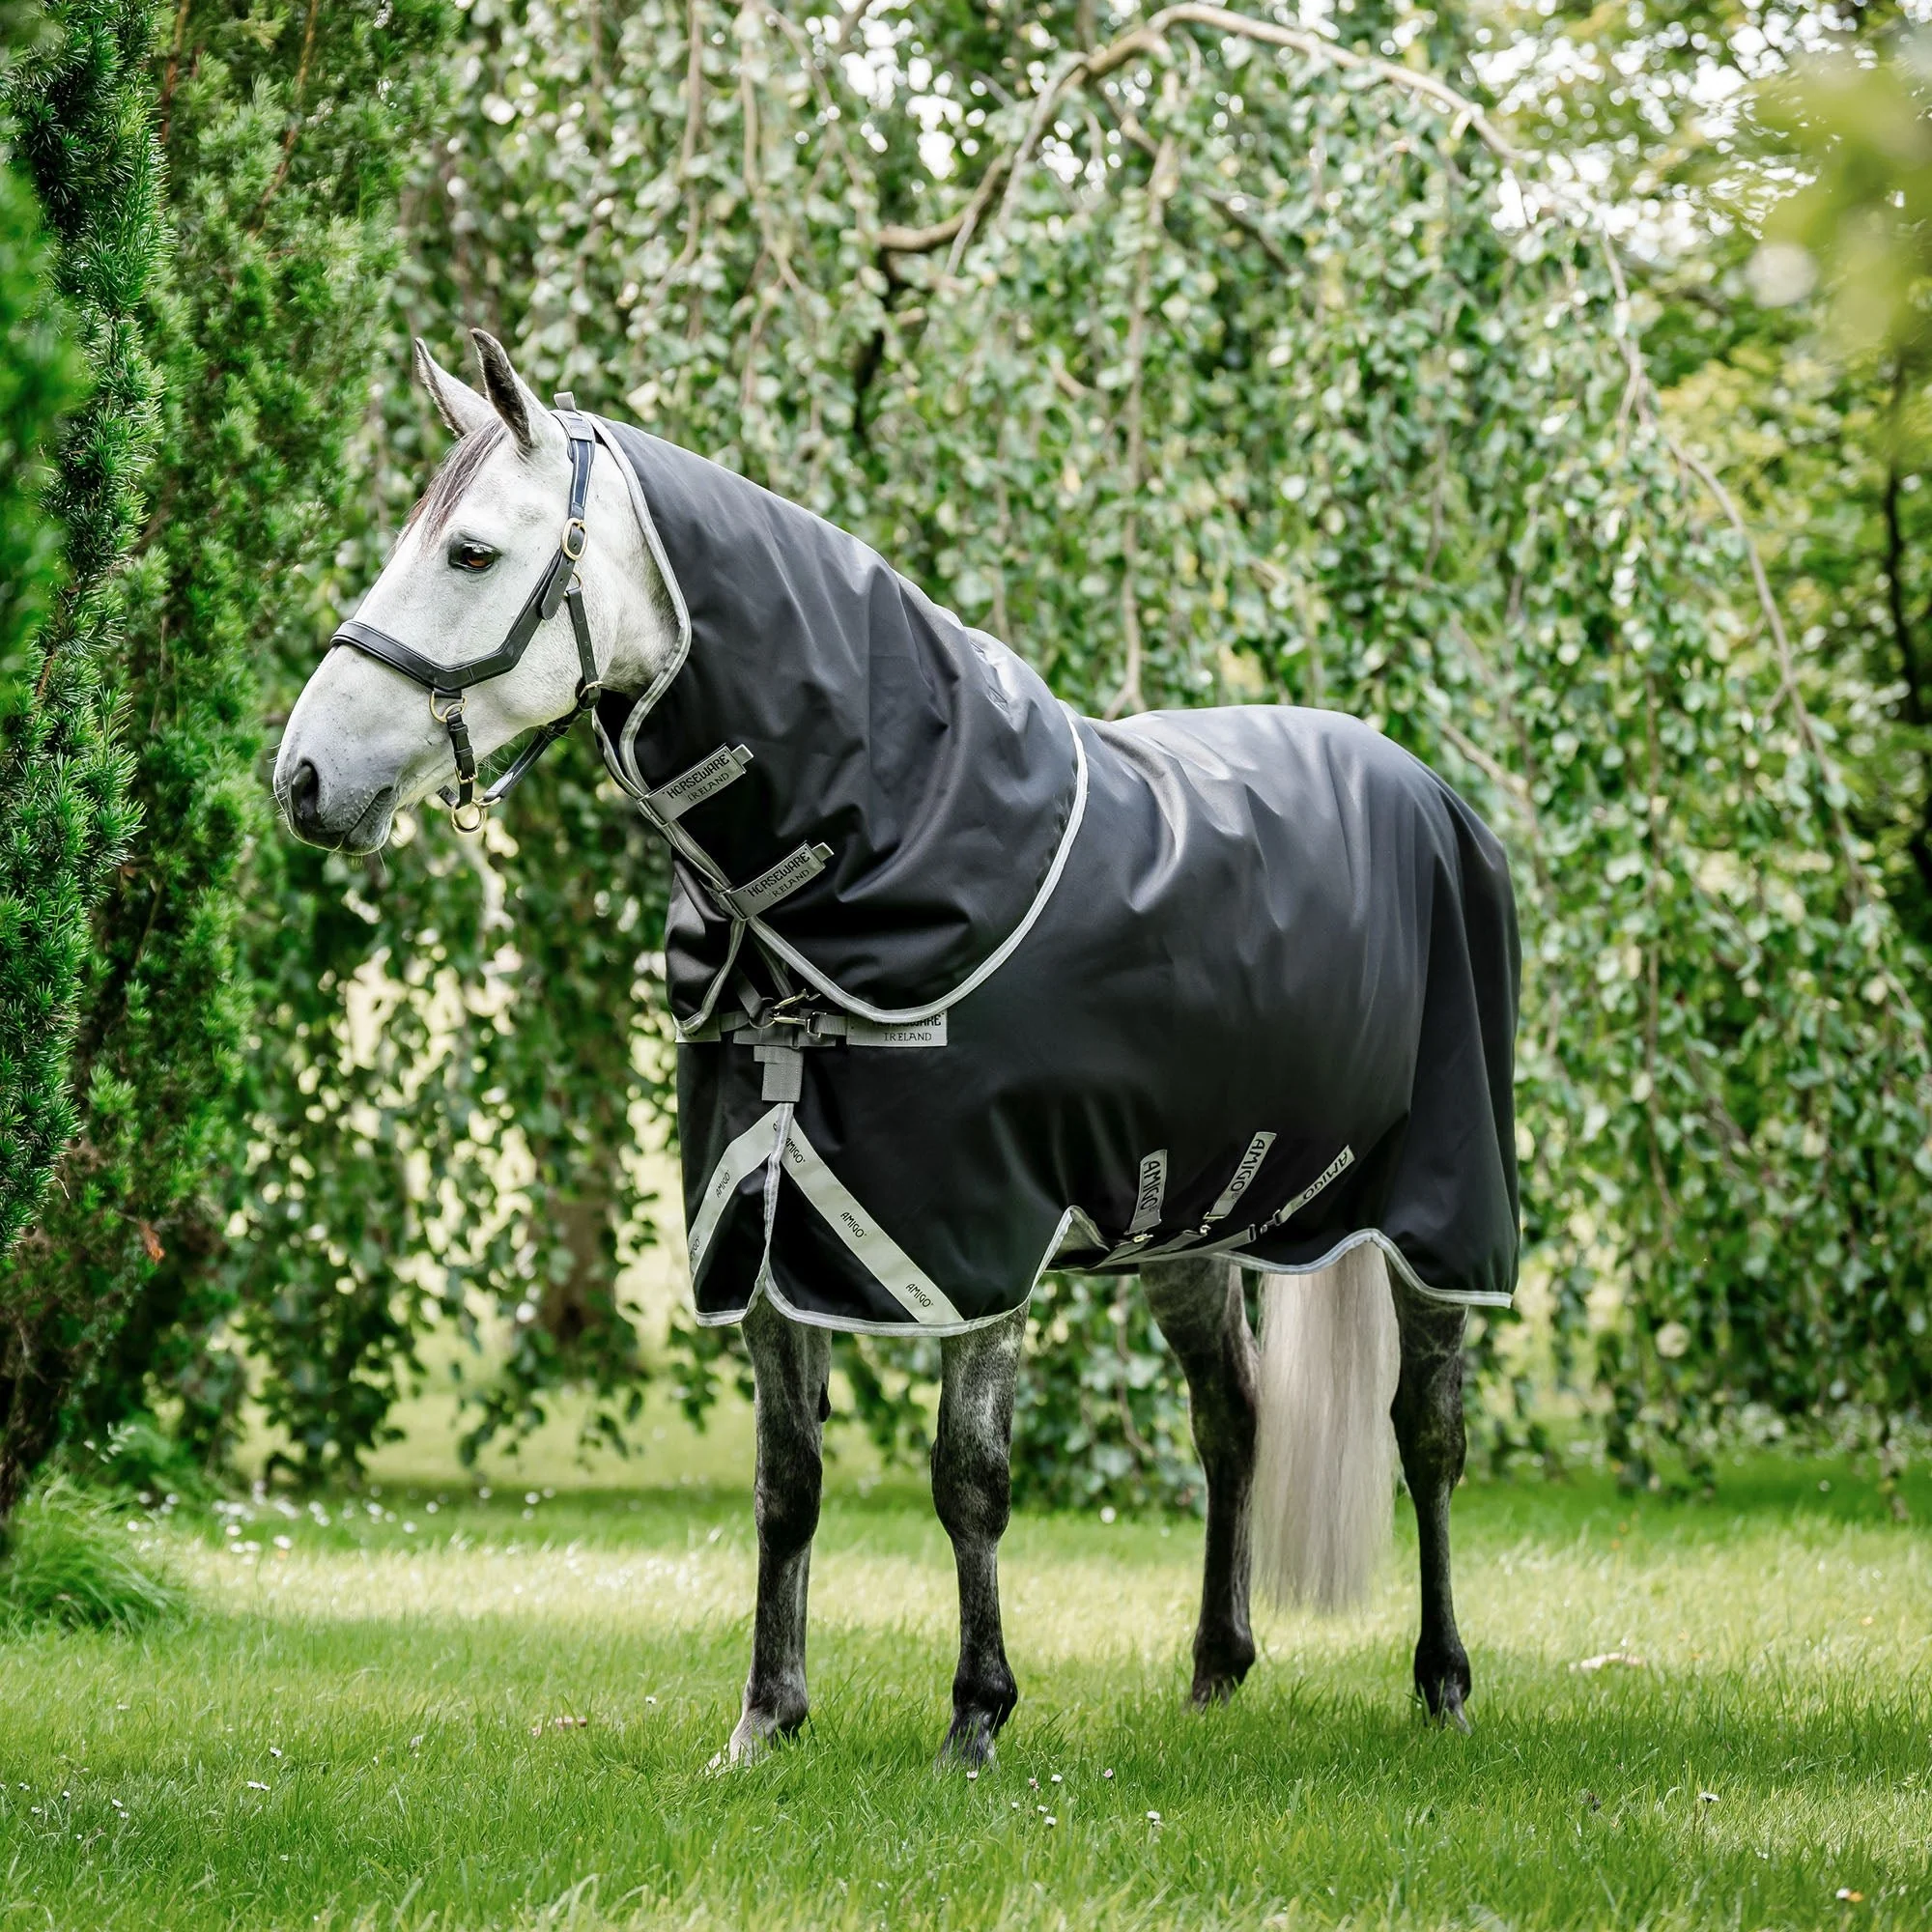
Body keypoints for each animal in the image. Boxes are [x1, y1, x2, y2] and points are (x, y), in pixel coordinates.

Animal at [276, 329, 1519, 1765]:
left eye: (472, 552)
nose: (302, 780)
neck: (868, 856)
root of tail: (1424, 789)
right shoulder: (760, 1223)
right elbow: (786, 1481)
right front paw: (765, 1721)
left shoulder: (978, 1243)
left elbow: (967, 1477)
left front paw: (976, 1716)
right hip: (1186, 1225)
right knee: (1234, 1419)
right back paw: (1216, 1669)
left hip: (1440, 1214)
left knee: (1428, 1434)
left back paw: (1444, 1681)